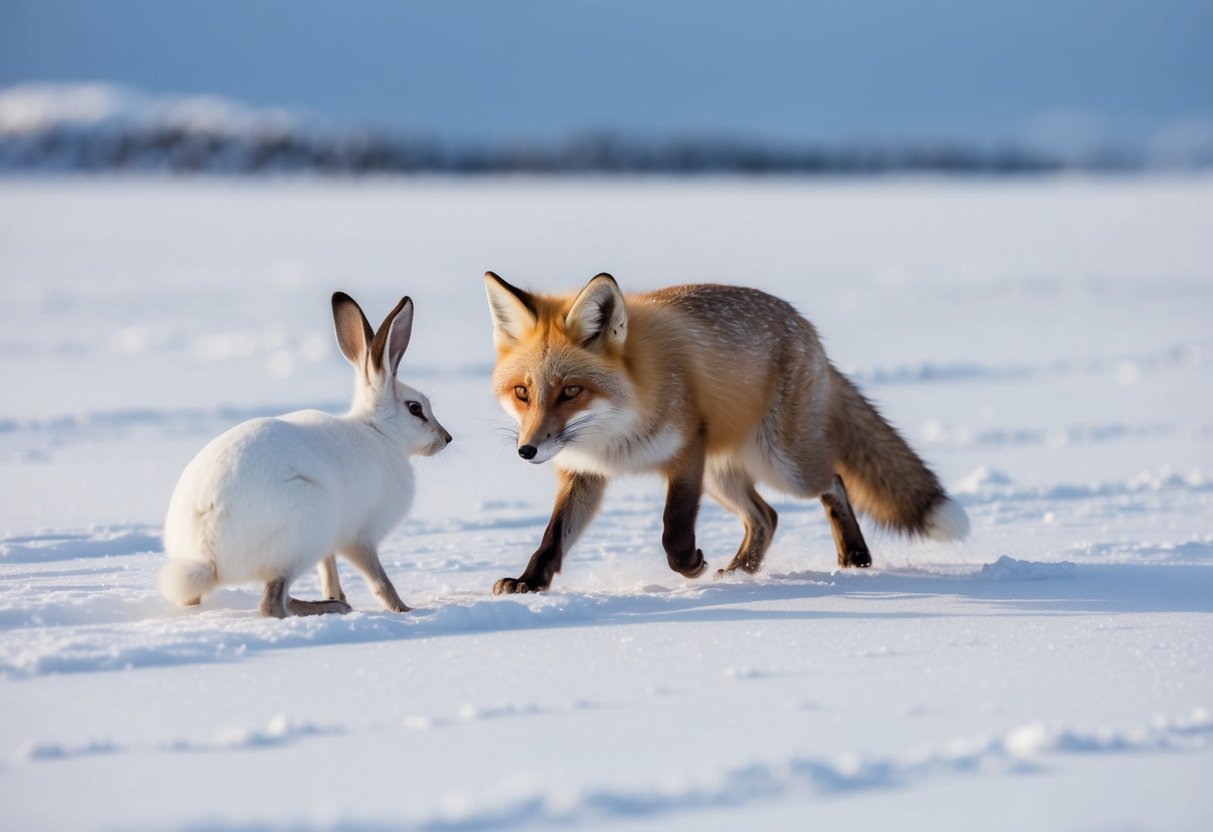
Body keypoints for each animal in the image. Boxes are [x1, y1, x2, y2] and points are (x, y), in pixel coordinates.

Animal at [159, 292, 452, 618]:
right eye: (415, 408)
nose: (446, 438)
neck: (378, 431)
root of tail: (206, 548)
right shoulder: (359, 537)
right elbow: (379, 579)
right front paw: (404, 609)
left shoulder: (332, 544)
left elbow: (329, 570)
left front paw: (339, 593)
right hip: (302, 533)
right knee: (273, 603)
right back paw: (329, 608)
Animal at [483, 271, 969, 594]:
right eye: (523, 392)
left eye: (570, 391)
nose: (527, 450)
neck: (615, 433)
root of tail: (807, 329)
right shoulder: (584, 473)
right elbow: (552, 538)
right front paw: (529, 582)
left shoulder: (686, 450)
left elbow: (674, 528)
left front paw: (689, 567)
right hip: (721, 474)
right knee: (767, 517)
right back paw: (740, 571)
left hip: (781, 465)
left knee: (833, 481)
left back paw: (854, 557)